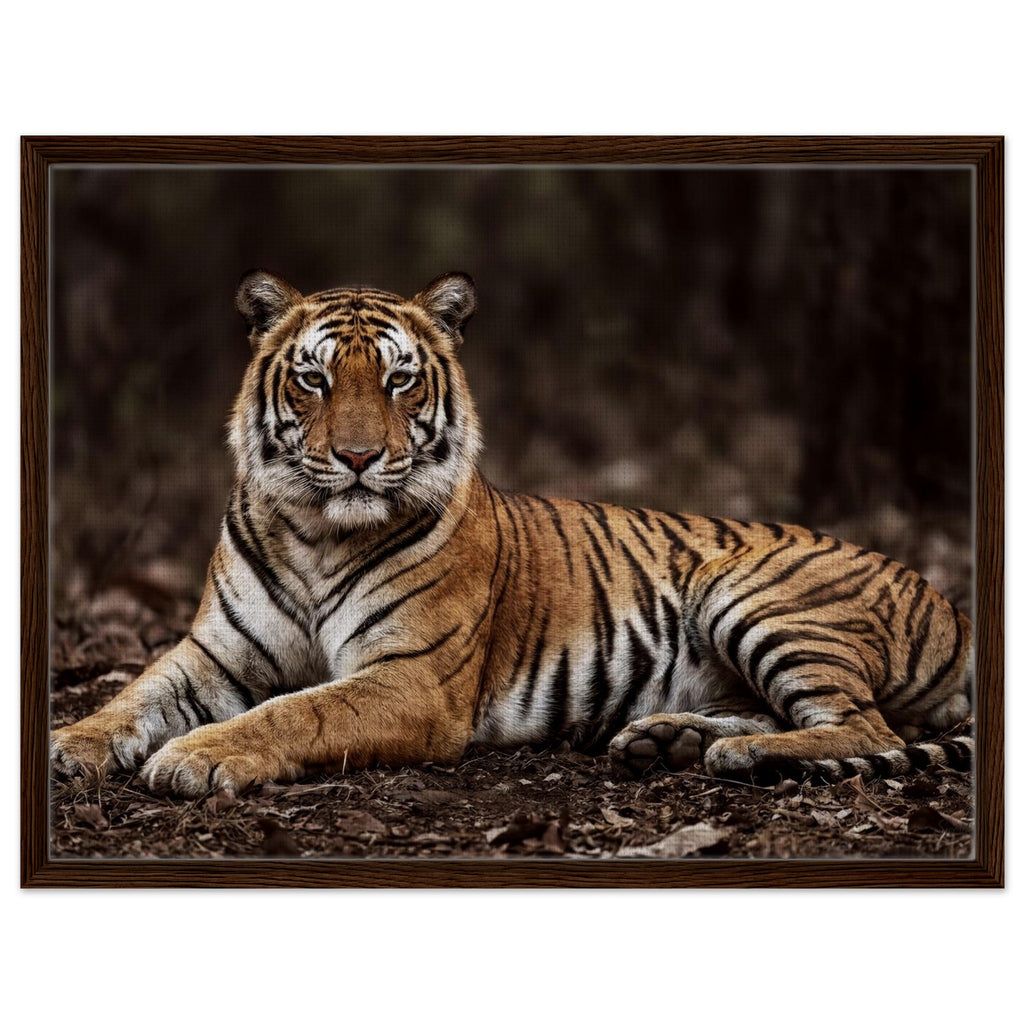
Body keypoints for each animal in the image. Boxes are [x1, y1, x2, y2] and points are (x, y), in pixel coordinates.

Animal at [50, 270, 974, 798]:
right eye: (314, 380)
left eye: (400, 381)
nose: (357, 458)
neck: (315, 533)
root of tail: (953, 605)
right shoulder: (213, 652)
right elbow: (133, 693)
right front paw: (70, 746)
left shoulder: (409, 679)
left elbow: (294, 713)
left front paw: (198, 756)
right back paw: (670, 741)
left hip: (749, 590)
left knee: (873, 733)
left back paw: (735, 759)